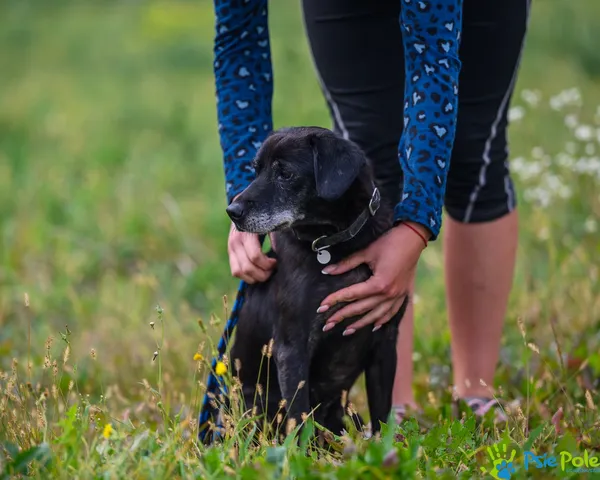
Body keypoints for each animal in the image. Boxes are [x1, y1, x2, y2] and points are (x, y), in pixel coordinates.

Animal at [225, 125, 408, 436]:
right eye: (256, 170)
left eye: (285, 173)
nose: (232, 211)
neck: (334, 243)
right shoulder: (291, 348)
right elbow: (299, 419)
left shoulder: (385, 339)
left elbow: (382, 413)